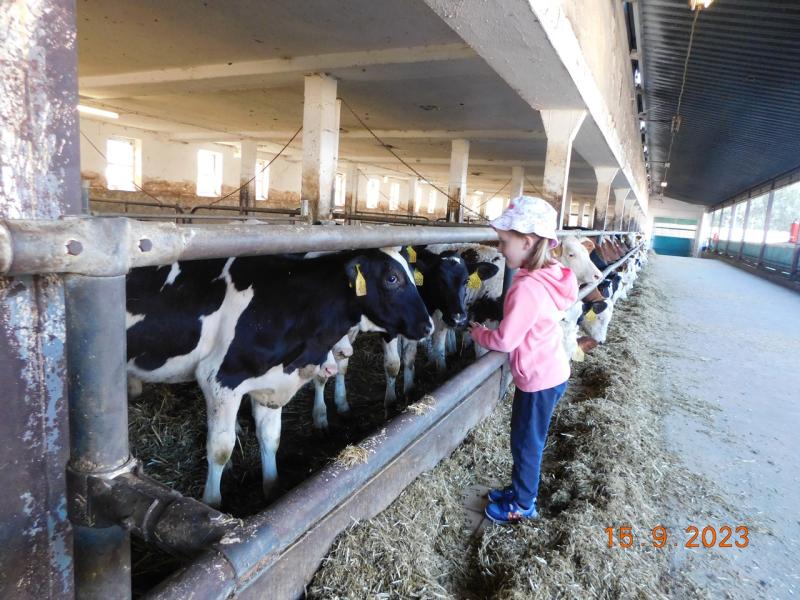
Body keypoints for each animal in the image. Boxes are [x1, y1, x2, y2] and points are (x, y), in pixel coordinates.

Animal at [125, 248, 433, 507]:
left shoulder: (270, 383)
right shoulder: (220, 380)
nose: (428, 326)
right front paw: (213, 502)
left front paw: (271, 488)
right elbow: (220, 449)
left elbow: (271, 437)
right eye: (392, 278)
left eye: (412, 273)